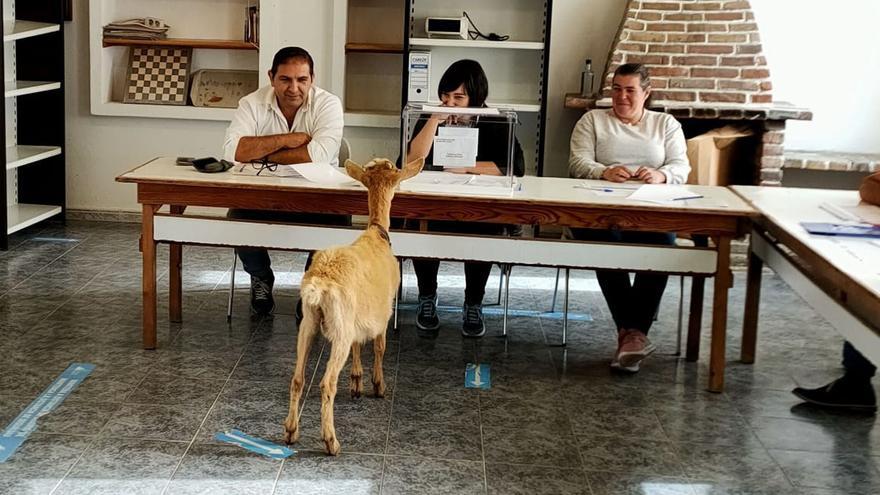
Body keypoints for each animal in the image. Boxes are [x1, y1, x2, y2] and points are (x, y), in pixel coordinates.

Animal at [280, 159, 422, 458]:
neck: (376, 233)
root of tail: (319, 284)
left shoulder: (358, 318)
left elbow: (360, 345)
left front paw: (357, 381)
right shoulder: (383, 313)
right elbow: (379, 347)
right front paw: (378, 385)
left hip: (309, 325)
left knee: (297, 378)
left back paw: (290, 431)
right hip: (338, 330)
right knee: (326, 383)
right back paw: (331, 441)